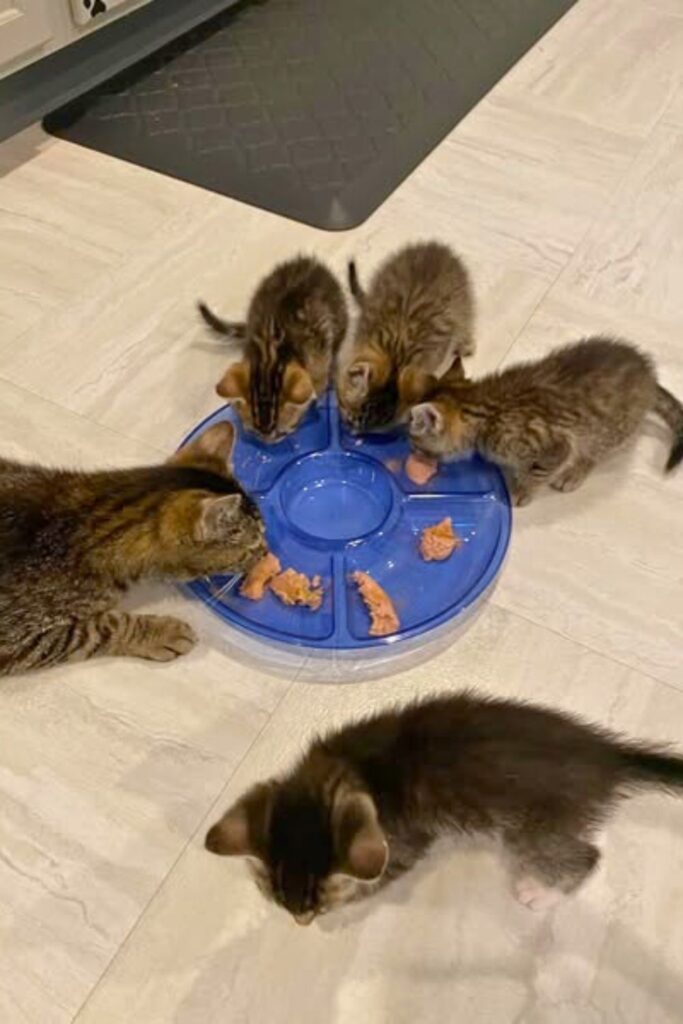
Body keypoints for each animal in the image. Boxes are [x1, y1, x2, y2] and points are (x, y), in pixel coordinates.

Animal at [198, 256, 348, 443]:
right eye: (254, 432)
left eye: (281, 433)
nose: (267, 442)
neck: (269, 354)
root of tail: (307, 260)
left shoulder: (319, 350)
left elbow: (319, 382)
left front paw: (318, 397)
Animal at [205, 690, 683, 924]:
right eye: (277, 901)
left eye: (318, 907)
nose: (300, 923)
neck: (348, 769)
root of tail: (607, 756)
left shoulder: (403, 842)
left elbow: (382, 873)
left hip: (535, 827)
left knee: (585, 856)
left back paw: (542, 894)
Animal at [336, 241, 474, 433]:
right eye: (350, 417)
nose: (352, 430)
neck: (395, 359)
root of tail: (437, 247)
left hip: (461, 299)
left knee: (465, 320)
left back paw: (466, 343)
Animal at [408, 336, 683, 505]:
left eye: (415, 442)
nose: (412, 452)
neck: (483, 409)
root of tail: (649, 376)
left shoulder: (555, 446)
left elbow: (538, 472)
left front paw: (523, 490)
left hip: (606, 432)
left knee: (593, 453)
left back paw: (574, 474)